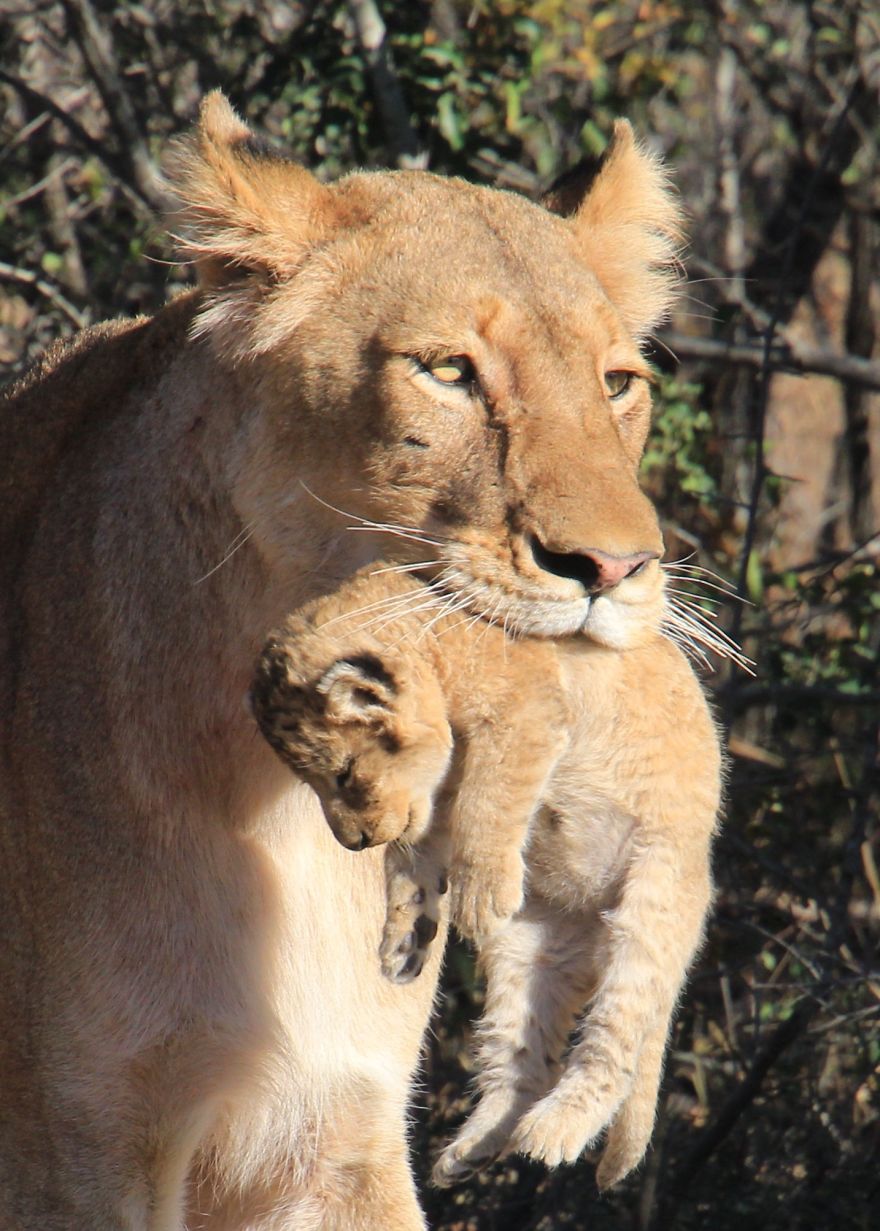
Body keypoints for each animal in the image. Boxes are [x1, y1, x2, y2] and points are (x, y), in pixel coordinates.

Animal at [250, 564, 720, 1191]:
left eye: (345, 775)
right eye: (317, 783)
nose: (353, 843)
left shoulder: (529, 718)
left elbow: (491, 802)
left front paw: (478, 893)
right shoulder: (433, 798)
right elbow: (411, 862)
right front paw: (406, 943)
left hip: (653, 904)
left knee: (614, 1047)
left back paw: (553, 1132)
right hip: (524, 952)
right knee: (525, 1060)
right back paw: (471, 1150)